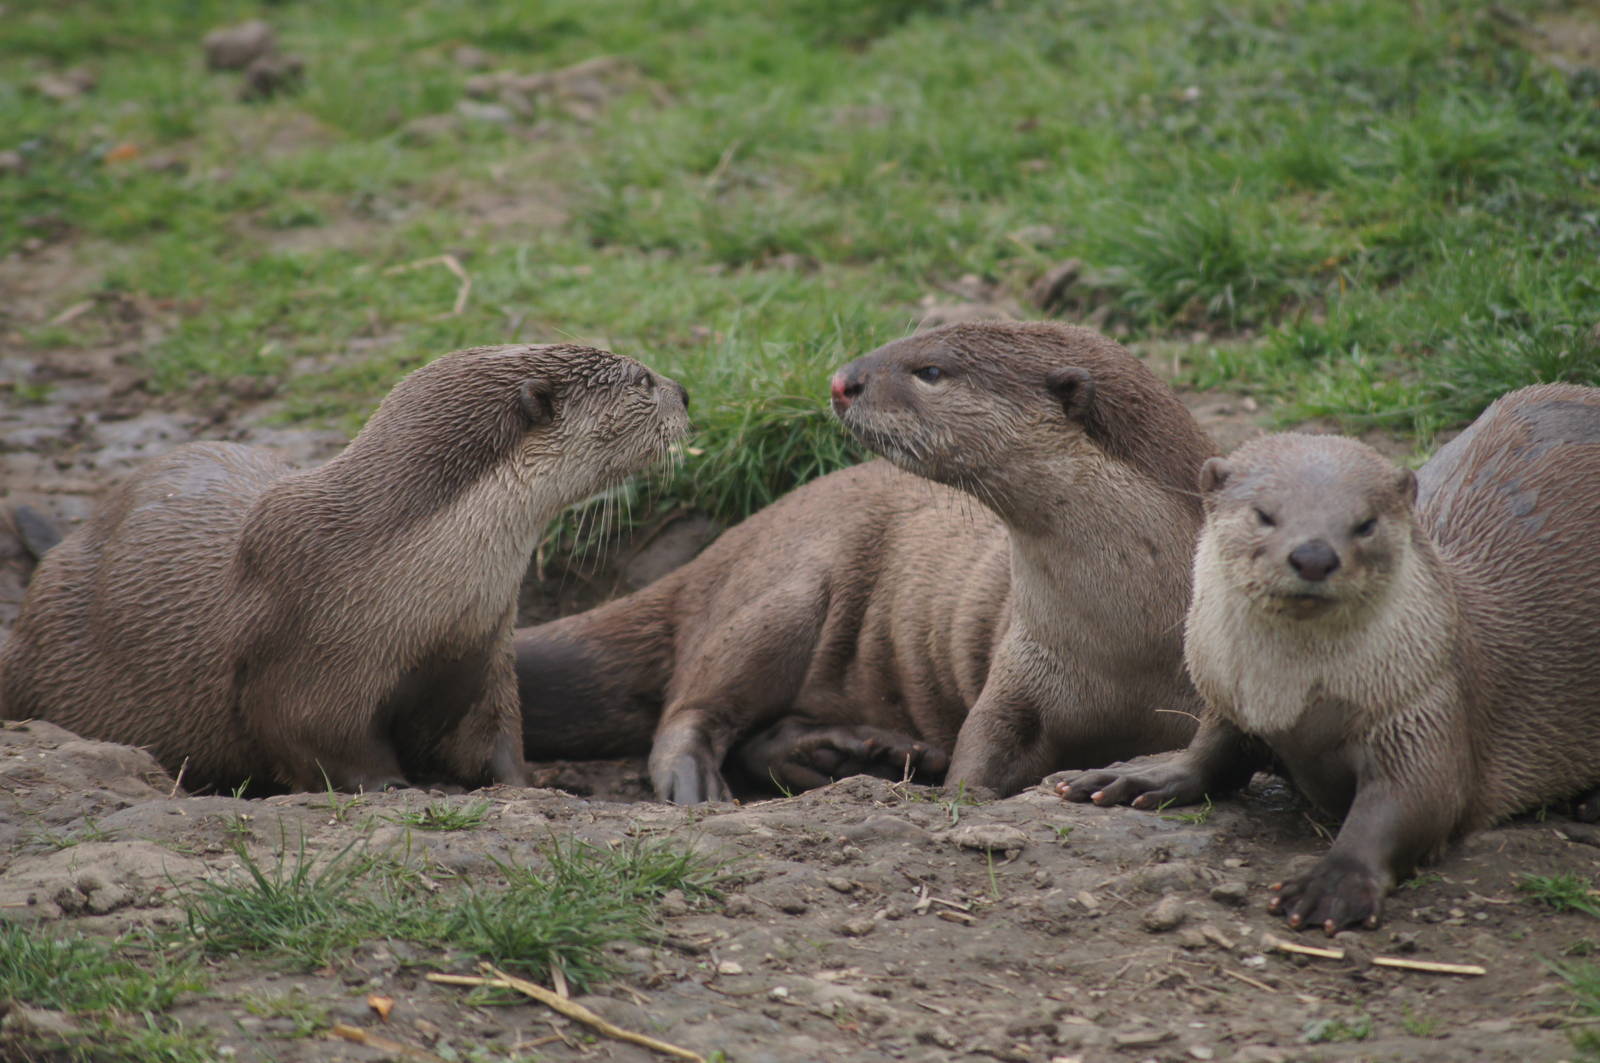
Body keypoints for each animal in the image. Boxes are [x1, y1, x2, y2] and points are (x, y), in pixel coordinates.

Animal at [0, 344, 689, 794]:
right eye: (640, 380)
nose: (686, 392)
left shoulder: (483, 647)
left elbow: (495, 737)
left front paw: (532, 786)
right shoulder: (301, 660)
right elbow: (320, 743)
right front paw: (398, 790)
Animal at [516, 321, 1212, 802]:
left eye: (930, 369)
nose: (841, 380)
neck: (1123, 640)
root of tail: (723, 548)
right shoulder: (1020, 670)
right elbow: (980, 753)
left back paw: (855, 754)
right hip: (782, 597)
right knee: (692, 706)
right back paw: (701, 782)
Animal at [1062, 385, 1600, 933]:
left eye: (1365, 524)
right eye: (1264, 514)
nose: (1314, 556)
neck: (1300, 704)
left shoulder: (1423, 701)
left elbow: (1412, 801)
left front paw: (1334, 882)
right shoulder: (1231, 696)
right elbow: (1209, 752)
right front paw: (1138, 778)